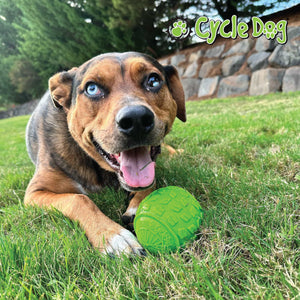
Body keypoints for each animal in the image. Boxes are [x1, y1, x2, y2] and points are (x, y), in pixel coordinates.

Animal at [25, 51, 185, 255]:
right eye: (92, 88)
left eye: (153, 80)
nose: (136, 119)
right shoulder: (34, 193)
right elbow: (79, 199)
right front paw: (112, 236)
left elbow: (151, 180)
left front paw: (137, 204)